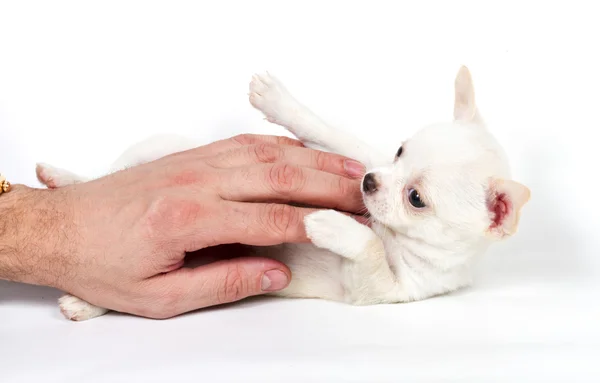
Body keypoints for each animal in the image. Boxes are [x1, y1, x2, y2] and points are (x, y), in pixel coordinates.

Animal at [36, 66, 528, 320]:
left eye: (416, 199)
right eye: (398, 151)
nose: (368, 183)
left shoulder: (381, 292)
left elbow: (368, 248)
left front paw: (332, 225)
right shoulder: (357, 156)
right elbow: (331, 133)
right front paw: (280, 101)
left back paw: (82, 301)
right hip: (154, 151)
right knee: (108, 177)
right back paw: (63, 177)